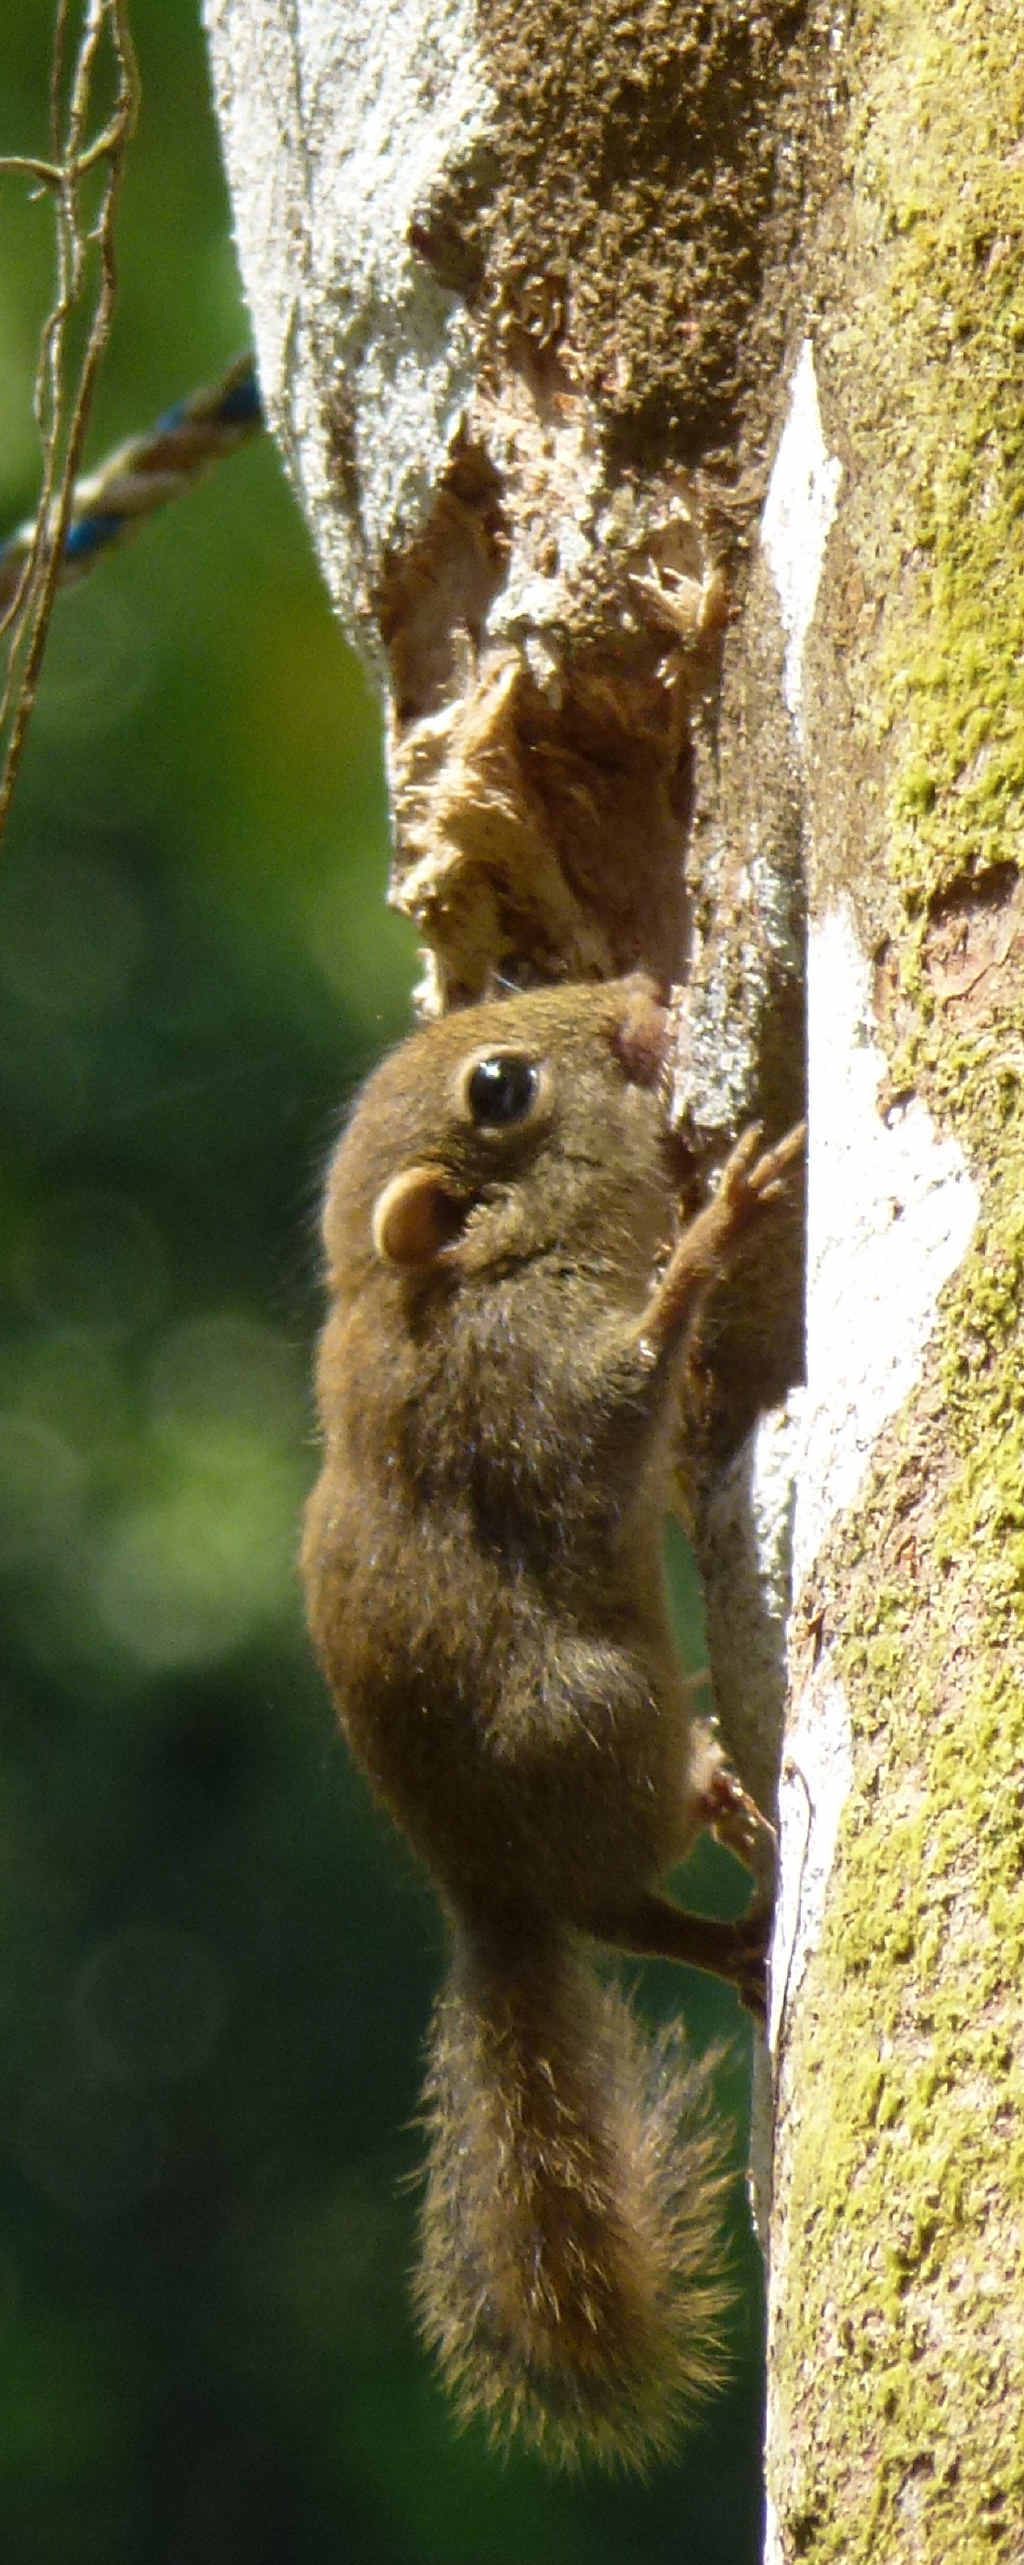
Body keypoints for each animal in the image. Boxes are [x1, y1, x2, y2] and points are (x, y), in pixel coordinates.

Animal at [301, 972, 804, 2469]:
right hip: (591, 1713)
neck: (468, 1277)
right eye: (501, 1087)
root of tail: (489, 1900)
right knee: (627, 1911)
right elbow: (621, 1402)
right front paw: (716, 1225)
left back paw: (724, 1799)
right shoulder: (521, 1394)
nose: (643, 993)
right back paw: (731, 1909)